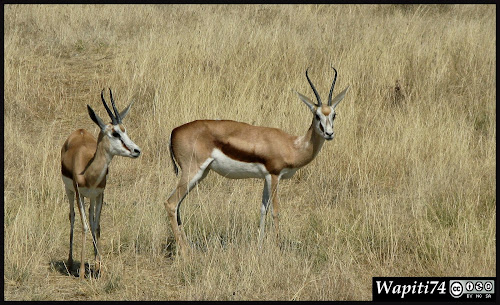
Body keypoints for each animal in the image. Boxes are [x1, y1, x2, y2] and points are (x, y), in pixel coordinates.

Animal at [62, 89, 142, 276]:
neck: (89, 172)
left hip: (91, 197)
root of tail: (80, 131)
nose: (136, 150)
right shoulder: (79, 193)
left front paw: (99, 266)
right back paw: (70, 262)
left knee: (91, 218)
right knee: (73, 217)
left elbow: (96, 225)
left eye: (125, 130)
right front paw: (82, 271)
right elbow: (84, 226)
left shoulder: (100, 194)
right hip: (70, 192)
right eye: (115, 133)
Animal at [166, 67, 350, 254]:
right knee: (171, 204)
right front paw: (277, 247)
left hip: (201, 174)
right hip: (192, 172)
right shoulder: (274, 176)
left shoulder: (265, 178)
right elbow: (275, 211)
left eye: (334, 114)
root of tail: (174, 131)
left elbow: (263, 209)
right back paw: (185, 251)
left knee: (178, 205)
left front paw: (260, 245)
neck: (292, 145)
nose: (329, 134)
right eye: (317, 115)